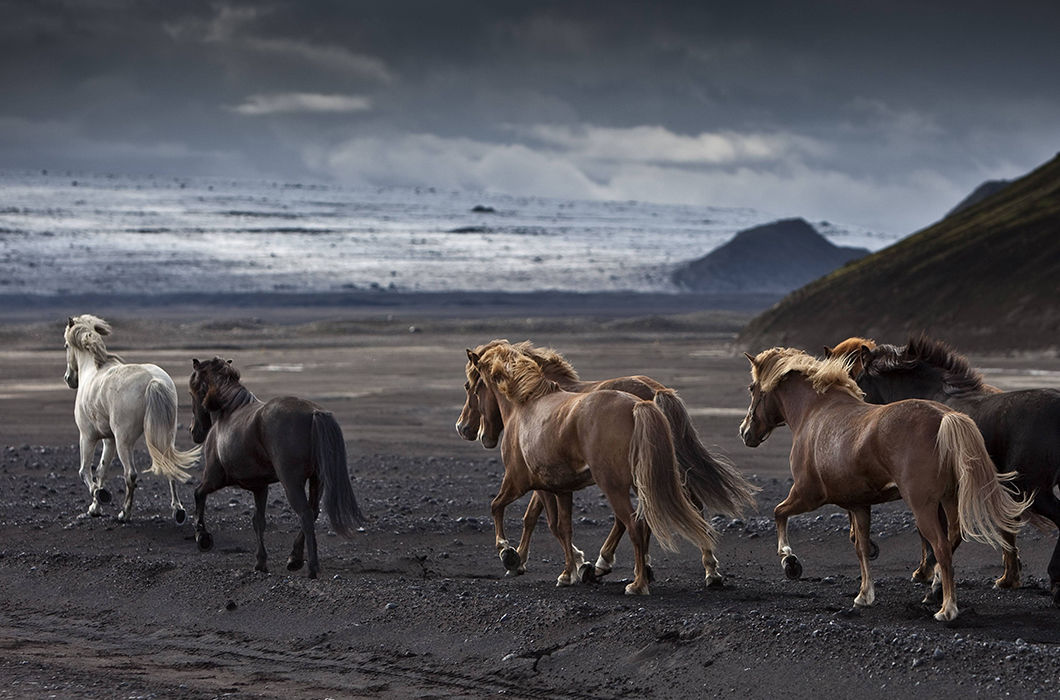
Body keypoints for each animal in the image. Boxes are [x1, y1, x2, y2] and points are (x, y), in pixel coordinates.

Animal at [63, 313, 200, 521]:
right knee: (168, 465)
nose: (68, 379)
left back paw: (124, 514)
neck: (93, 370)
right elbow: (101, 471)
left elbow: (85, 472)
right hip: (165, 436)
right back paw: (178, 510)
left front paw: (100, 496)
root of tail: (154, 380)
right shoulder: (109, 440)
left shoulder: (87, 436)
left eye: (66, 346)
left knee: (130, 474)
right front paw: (95, 508)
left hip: (124, 441)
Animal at [190, 358, 368, 576]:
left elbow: (198, 494)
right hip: (317, 479)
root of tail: (314, 413)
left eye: (193, 390)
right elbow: (258, 521)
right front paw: (260, 562)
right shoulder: (260, 487)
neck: (228, 412)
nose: (194, 431)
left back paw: (312, 567)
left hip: (291, 482)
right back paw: (295, 558)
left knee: (305, 514)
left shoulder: (214, 478)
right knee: (313, 511)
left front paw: (203, 537)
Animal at [453, 339, 754, 581]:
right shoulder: (552, 480)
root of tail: (656, 392)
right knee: (684, 505)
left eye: (469, 386)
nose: (464, 429)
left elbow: (537, 518)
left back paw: (608, 563)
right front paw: (543, 560)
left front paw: (520, 558)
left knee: (636, 516)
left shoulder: (539, 477)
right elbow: (542, 518)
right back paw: (706, 569)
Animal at [737, 347, 1026, 619]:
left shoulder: (807, 495)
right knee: (953, 538)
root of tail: (944, 418)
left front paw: (790, 561)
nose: (744, 432)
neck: (814, 413)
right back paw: (934, 591)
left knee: (942, 548)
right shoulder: (858, 505)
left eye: (752, 388)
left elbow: (779, 513)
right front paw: (865, 595)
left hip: (923, 507)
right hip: (949, 500)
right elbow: (862, 548)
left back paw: (947, 608)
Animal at [852, 337, 1060, 602]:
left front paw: (930, 578)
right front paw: (1007, 579)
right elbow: (1000, 531)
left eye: (859, 380)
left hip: (1034, 491)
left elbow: (937, 534)